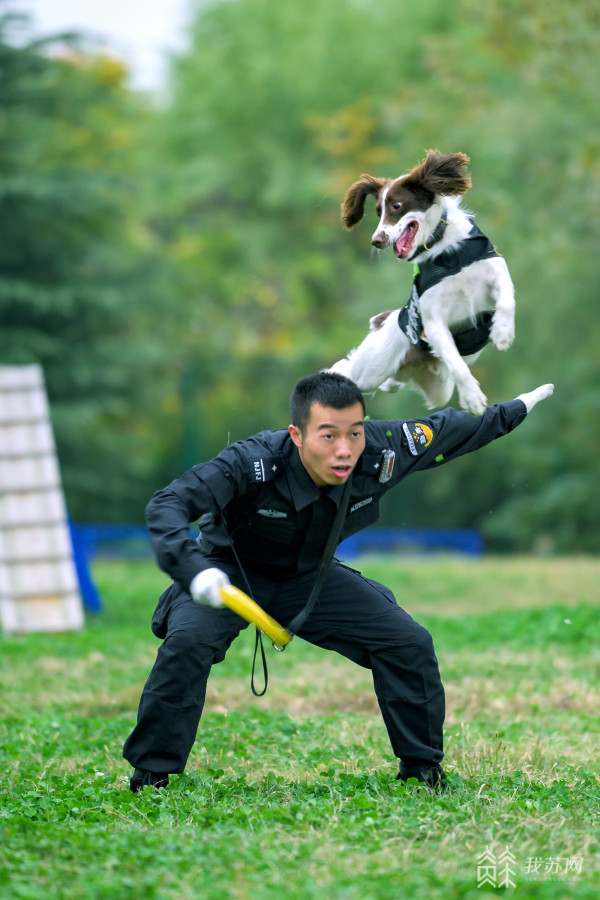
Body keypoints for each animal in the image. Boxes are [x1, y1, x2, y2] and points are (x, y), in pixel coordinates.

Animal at [328, 151, 516, 414]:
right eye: (377, 212)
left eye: (396, 205)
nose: (376, 240)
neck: (446, 251)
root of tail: (386, 319)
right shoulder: (433, 321)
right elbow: (457, 363)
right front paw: (472, 398)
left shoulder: (495, 271)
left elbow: (507, 299)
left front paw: (502, 332)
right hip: (371, 368)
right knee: (343, 369)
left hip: (436, 387)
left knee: (392, 383)